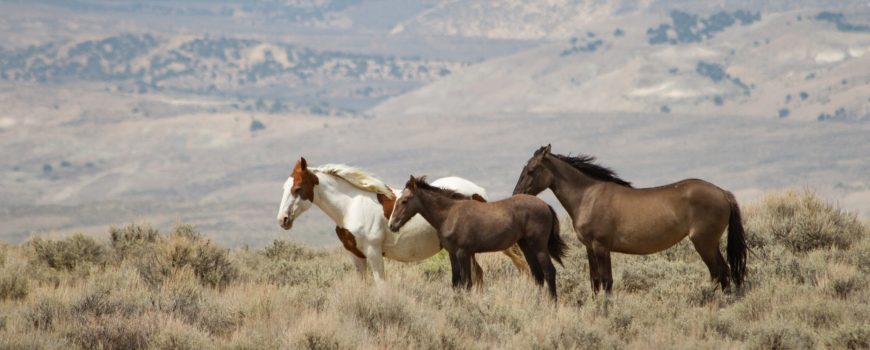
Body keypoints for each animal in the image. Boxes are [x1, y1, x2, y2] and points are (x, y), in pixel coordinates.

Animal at [278, 157, 532, 284]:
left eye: (298, 189)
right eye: (284, 187)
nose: (283, 220)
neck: (350, 206)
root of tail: (479, 192)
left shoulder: (373, 253)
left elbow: (381, 287)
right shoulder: (356, 256)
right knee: (479, 275)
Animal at [390, 176, 568, 300]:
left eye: (404, 201)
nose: (392, 225)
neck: (449, 214)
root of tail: (546, 205)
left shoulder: (463, 253)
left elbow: (467, 283)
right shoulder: (452, 254)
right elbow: (456, 282)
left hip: (539, 246)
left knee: (549, 271)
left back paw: (551, 303)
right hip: (525, 245)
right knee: (537, 274)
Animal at [516, 146, 752, 304]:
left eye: (531, 170)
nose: (516, 194)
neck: (587, 196)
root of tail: (722, 192)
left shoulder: (601, 246)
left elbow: (607, 280)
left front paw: (606, 308)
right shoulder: (590, 248)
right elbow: (594, 280)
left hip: (704, 243)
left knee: (721, 271)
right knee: (721, 272)